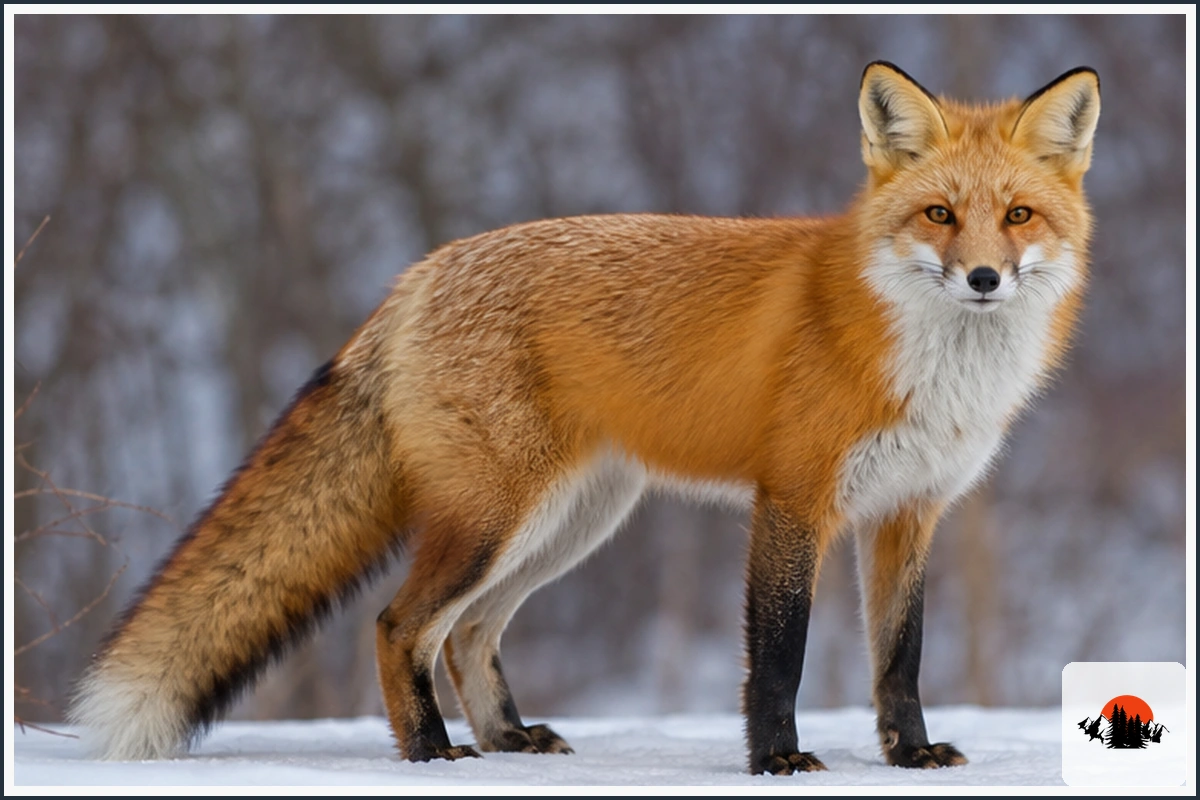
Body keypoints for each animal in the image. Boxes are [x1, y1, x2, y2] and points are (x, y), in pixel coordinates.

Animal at [68, 62, 1100, 775]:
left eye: (1017, 216)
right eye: (938, 215)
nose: (984, 278)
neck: (926, 360)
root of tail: (415, 276)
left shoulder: (910, 512)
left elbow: (901, 659)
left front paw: (910, 756)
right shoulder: (793, 500)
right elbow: (780, 655)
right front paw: (774, 761)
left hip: (567, 524)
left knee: (469, 635)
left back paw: (508, 737)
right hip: (498, 518)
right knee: (402, 625)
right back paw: (432, 753)